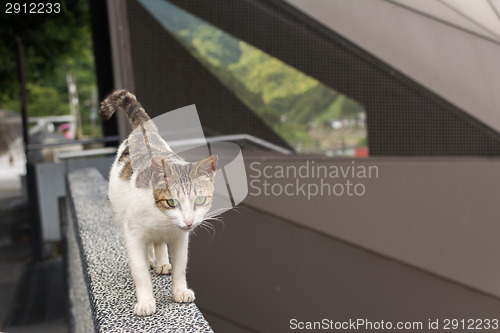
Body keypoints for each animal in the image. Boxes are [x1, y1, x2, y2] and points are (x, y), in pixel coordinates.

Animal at [100, 89, 218, 316]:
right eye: (171, 202)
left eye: (200, 200)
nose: (189, 221)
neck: (162, 220)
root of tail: (144, 131)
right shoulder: (134, 234)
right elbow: (140, 273)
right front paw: (146, 301)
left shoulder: (180, 238)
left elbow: (180, 266)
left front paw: (180, 290)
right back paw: (150, 260)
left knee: (159, 244)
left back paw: (163, 262)